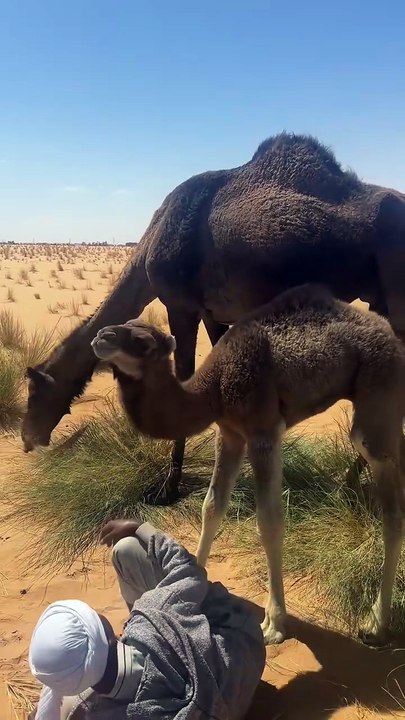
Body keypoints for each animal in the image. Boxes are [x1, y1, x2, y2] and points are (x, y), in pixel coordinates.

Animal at [21, 133, 405, 503]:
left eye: (34, 391)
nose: (27, 438)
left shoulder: (181, 305)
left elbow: (185, 374)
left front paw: (168, 487)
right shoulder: (213, 313)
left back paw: (353, 483)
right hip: (379, 300)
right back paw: (352, 482)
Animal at [91, 284, 405, 647]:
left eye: (142, 339)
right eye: (128, 324)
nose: (101, 336)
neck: (212, 389)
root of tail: (391, 334)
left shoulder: (262, 430)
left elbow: (269, 522)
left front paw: (274, 624)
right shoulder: (229, 433)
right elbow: (211, 507)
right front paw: (192, 580)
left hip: (379, 383)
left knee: (388, 502)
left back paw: (376, 624)